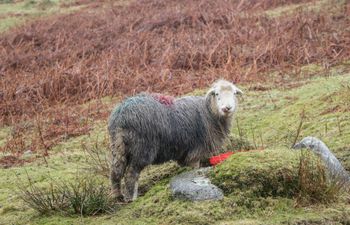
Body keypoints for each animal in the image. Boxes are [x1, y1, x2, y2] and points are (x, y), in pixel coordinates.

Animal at [108, 79, 242, 202]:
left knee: (115, 171)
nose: (227, 108)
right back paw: (132, 198)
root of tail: (122, 115)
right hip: (142, 148)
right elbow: (195, 169)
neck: (210, 113)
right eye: (216, 94)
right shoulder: (196, 152)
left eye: (234, 93)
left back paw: (117, 196)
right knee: (131, 173)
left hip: (118, 146)